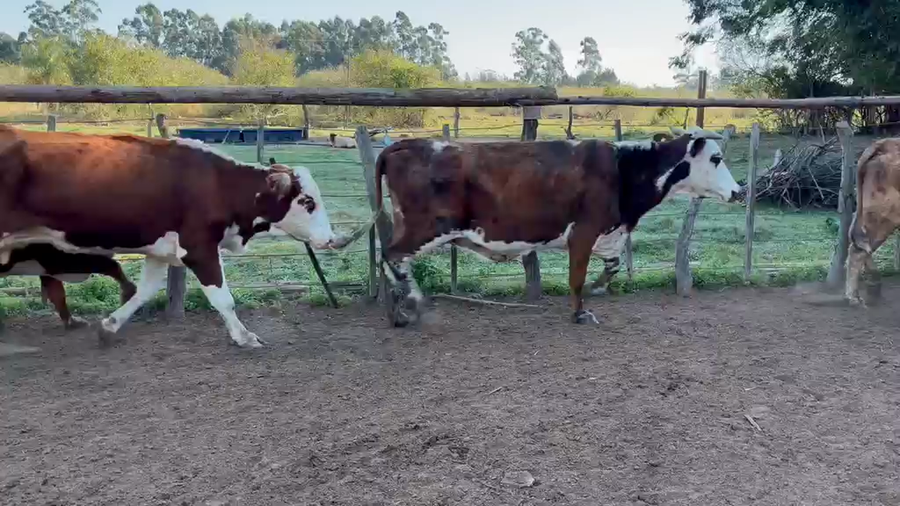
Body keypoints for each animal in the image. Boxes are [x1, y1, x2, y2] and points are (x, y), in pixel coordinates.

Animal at [374, 126, 742, 326]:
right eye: (716, 158)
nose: (739, 191)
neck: (622, 170)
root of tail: (404, 144)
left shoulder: (607, 235)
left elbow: (612, 265)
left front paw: (597, 287)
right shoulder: (583, 231)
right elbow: (575, 278)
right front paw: (580, 312)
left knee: (387, 261)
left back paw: (398, 312)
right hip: (424, 227)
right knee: (392, 256)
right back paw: (415, 304)